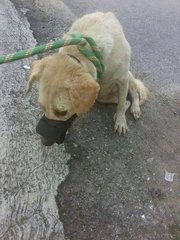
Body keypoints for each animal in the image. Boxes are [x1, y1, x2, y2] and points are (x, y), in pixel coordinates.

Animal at [26, 12, 148, 145]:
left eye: (62, 112)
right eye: (41, 107)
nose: (44, 142)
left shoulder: (123, 79)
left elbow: (121, 105)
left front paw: (121, 121)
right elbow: (121, 102)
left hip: (128, 77)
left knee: (133, 94)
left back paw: (134, 108)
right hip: (101, 94)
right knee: (124, 100)